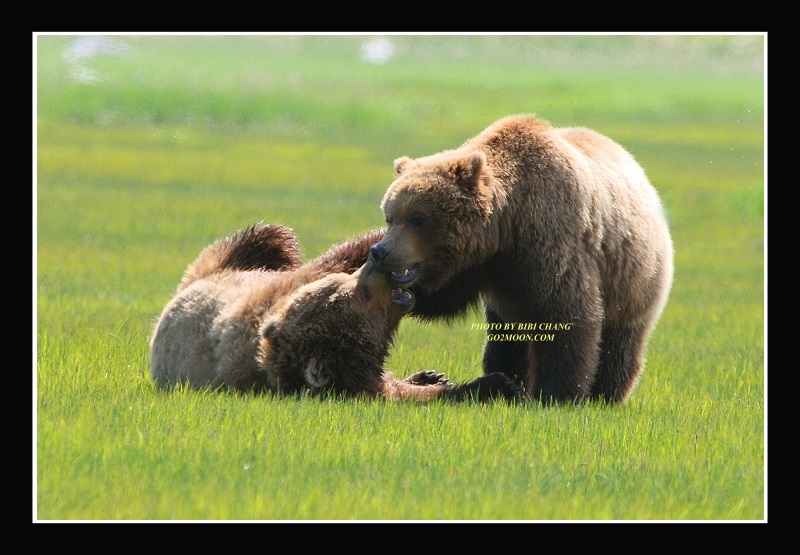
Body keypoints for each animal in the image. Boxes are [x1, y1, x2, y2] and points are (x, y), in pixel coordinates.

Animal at [150, 222, 522, 402]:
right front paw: (496, 385)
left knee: (266, 240)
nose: (374, 261)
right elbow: (415, 397)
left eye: (351, 282)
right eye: (363, 293)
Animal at [369, 114, 674, 404]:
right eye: (390, 216)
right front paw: (401, 294)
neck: (508, 225)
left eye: (418, 218)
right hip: (510, 306)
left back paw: (605, 394)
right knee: (507, 340)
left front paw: (556, 393)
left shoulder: (553, 240)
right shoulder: (478, 261)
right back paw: (511, 378)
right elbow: (446, 298)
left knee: (620, 340)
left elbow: (565, 315)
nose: (380, 251)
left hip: (633, 278)